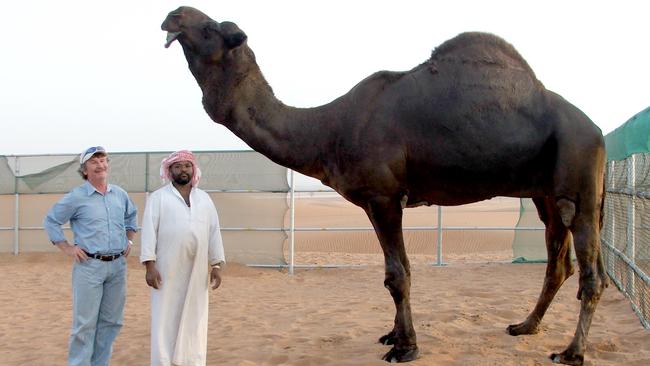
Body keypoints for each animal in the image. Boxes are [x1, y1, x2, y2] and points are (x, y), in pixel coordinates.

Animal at [162, 6, 608, 366]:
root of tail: (597, 132)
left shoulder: (384, 196)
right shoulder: (373, 201)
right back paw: (525, 326)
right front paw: (393, 335)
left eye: (211, 28)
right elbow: (393, 272)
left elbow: (398, 274)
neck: (328, 129)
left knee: (590, 273)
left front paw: (406, 348)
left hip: (580, 176)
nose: (173, 15)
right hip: (546, 193)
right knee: (561, 262)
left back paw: (572, 352)